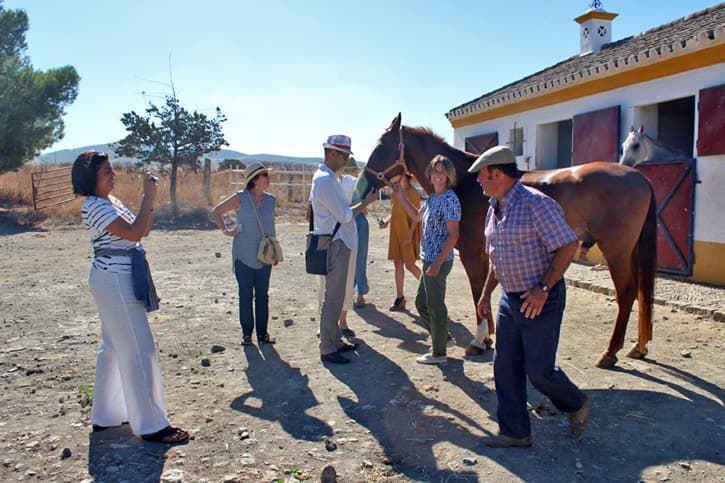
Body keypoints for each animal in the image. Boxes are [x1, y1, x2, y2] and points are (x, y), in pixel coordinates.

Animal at [362, 114, 656, 370]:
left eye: (381, 147)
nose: (365, 182)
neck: (466, 182)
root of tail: (638, 176)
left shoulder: (470, 253)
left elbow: (477, 291)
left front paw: (479, 340)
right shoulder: (485, 254)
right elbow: (482, 294)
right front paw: (489, 336)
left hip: (616, 252)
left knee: (627, 293)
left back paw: (610, 352)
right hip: (630, 252)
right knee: (641, 293)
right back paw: (638, 347)